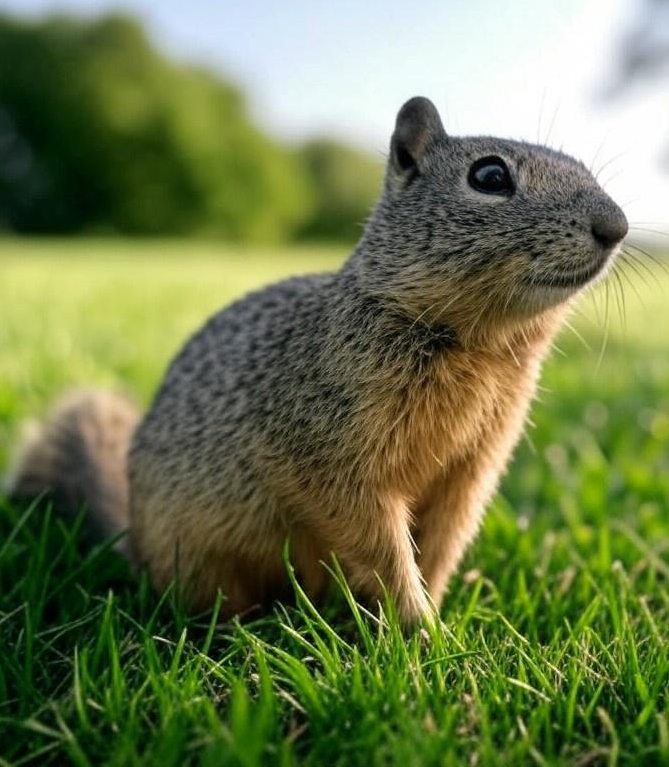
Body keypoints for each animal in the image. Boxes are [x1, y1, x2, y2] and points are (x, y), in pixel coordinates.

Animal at [7, 97, 628, 624]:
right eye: (490, 177)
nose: (616, 226)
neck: (482, 348)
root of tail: (133, 540)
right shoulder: (325, 449)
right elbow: (376, 539)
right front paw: (417, 626)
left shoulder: (471, 469)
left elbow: (440, 545)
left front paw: (434, 616)